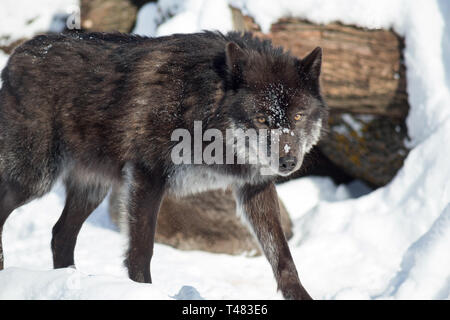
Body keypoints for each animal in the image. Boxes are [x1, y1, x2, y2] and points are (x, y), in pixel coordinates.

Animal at [0, 31, 326, 298]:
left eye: (297, 117)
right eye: (261, 119)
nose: (288, 162)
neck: (199, 103)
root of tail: (17, 54)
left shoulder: (254, 186)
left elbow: (282, 256)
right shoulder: (147, 177)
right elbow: (141, 252)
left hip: (92, 188)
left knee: (60, 236)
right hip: (34, 179)